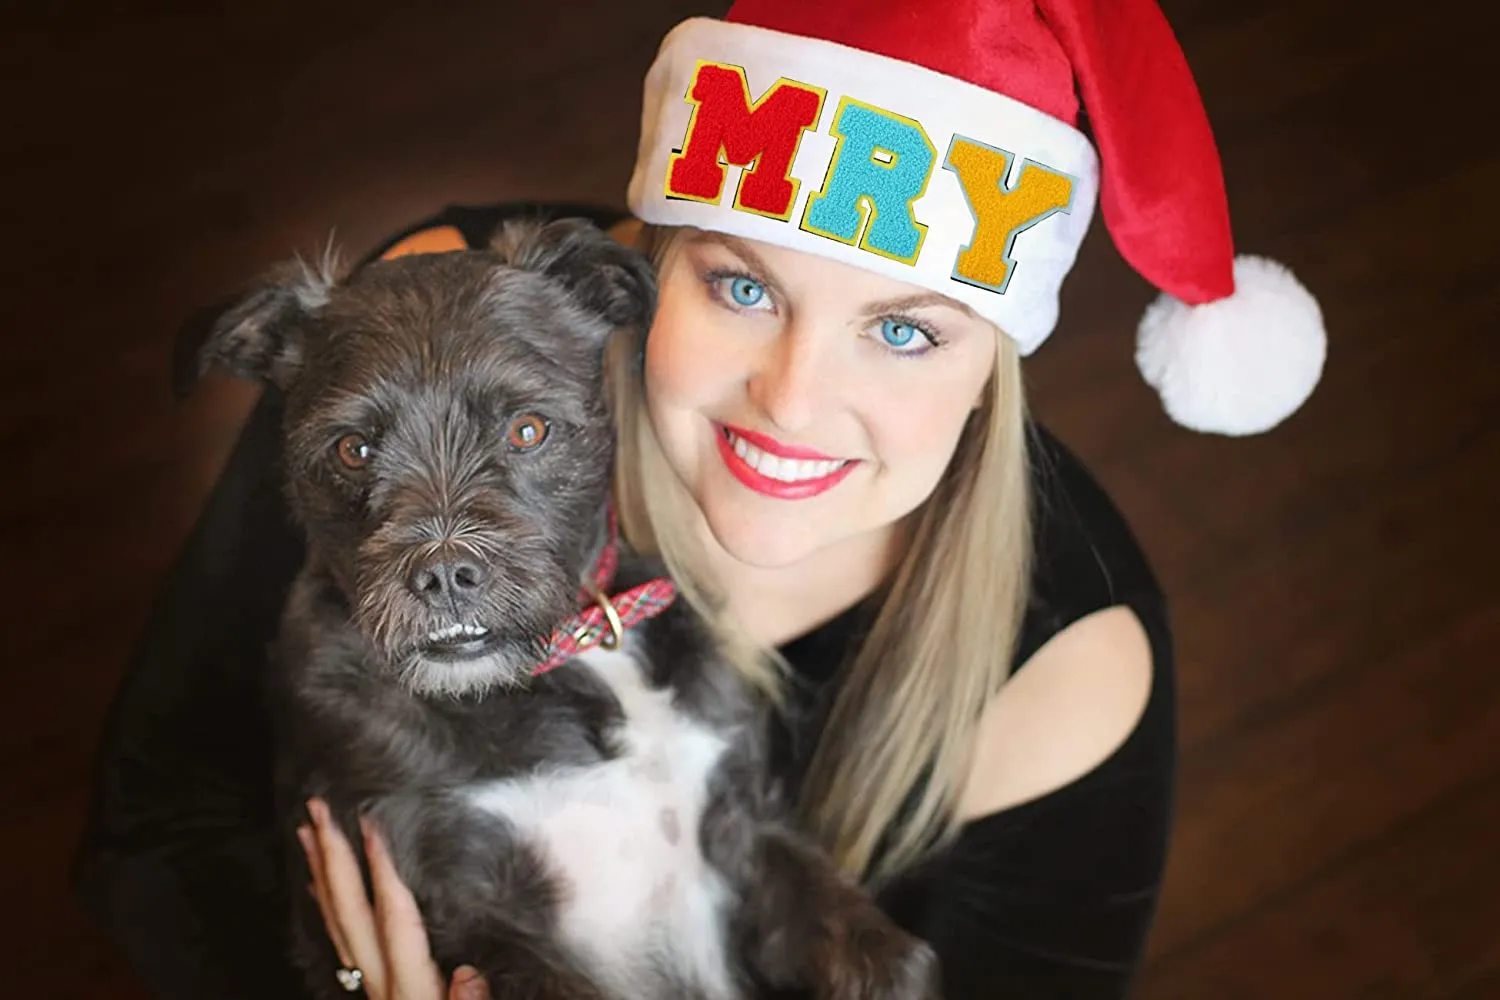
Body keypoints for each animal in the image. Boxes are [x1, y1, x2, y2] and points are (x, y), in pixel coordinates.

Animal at [196, 212, 936, 1000]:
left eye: (528, 429)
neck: (574, 659)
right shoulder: (463, 895)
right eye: (352, 449)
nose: (445, 573)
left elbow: (894, 961)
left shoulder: (743, 831)